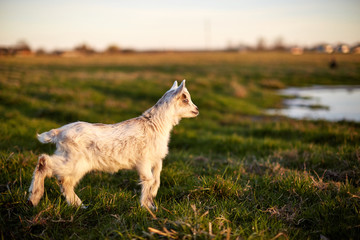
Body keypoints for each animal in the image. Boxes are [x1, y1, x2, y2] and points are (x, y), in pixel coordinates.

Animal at [27, 79, 200, 209]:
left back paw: (79, 205)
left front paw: (152, 199)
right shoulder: (143, 160)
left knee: (65, 181)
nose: (197, 110)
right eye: (185, 98)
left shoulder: (156, 158)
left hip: (74, 162)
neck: (155, 124)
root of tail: (59, 132)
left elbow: (156, 178)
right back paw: (34, 198)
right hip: (74, 160)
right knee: (44, 161)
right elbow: (148, 179)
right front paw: (146, 206)